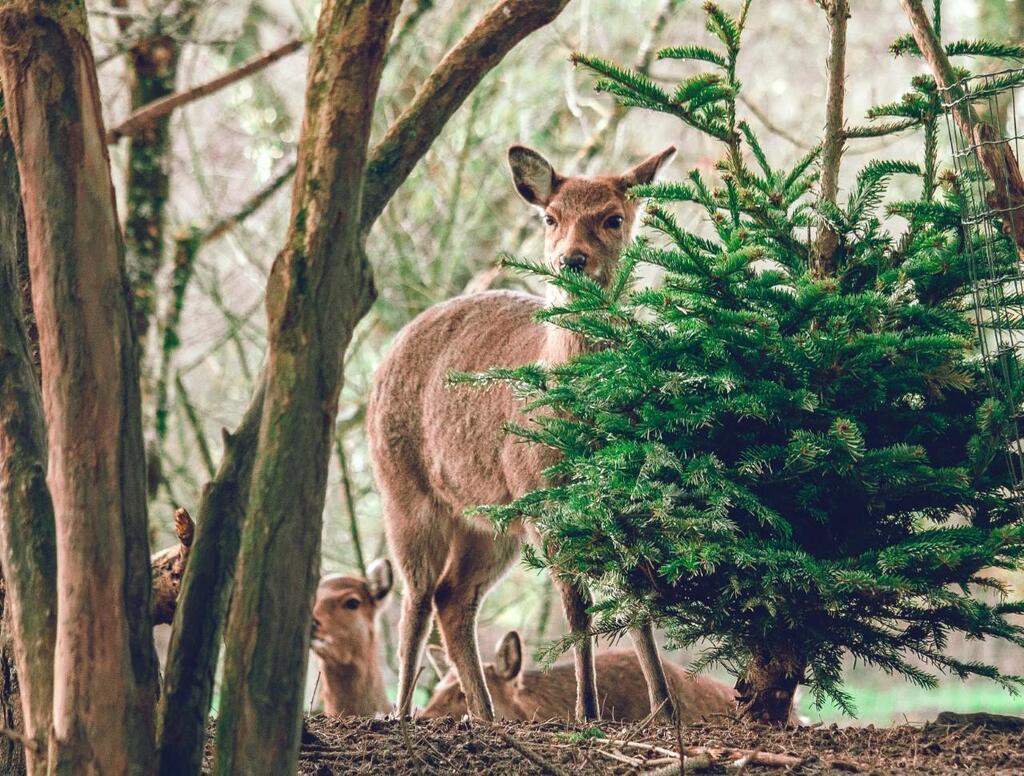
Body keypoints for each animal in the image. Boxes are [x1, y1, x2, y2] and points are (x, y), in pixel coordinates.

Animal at [368, 141, 679, 724]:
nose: (571, 260)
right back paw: (399, 711)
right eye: (550, 217)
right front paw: (587, 713)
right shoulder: (543, 499)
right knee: (415, 598)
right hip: (404, 487)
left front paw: (664, 711)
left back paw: (484, 713)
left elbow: (636, 602)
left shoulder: (622, 503)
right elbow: (578, 608)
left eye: (613, 218)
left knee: (453, 597)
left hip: (491, 521)